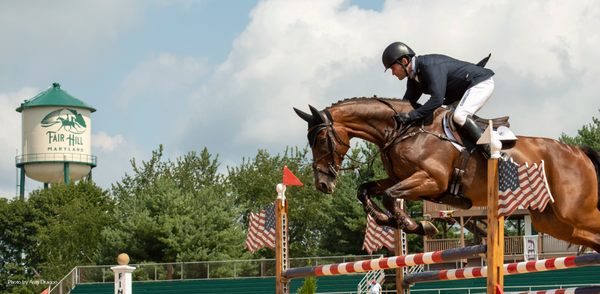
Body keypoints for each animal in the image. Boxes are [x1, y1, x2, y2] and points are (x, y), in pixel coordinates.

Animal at [292, 97, 600, 252]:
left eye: (321, 140)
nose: (323, 184)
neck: (402, 130)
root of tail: (578, 151)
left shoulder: (431, 180)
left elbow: (391, 196)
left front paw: (416, 225)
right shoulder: (400, 179)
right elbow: (365, 190)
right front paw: (387, 220)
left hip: (574, 211)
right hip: (554, 221)